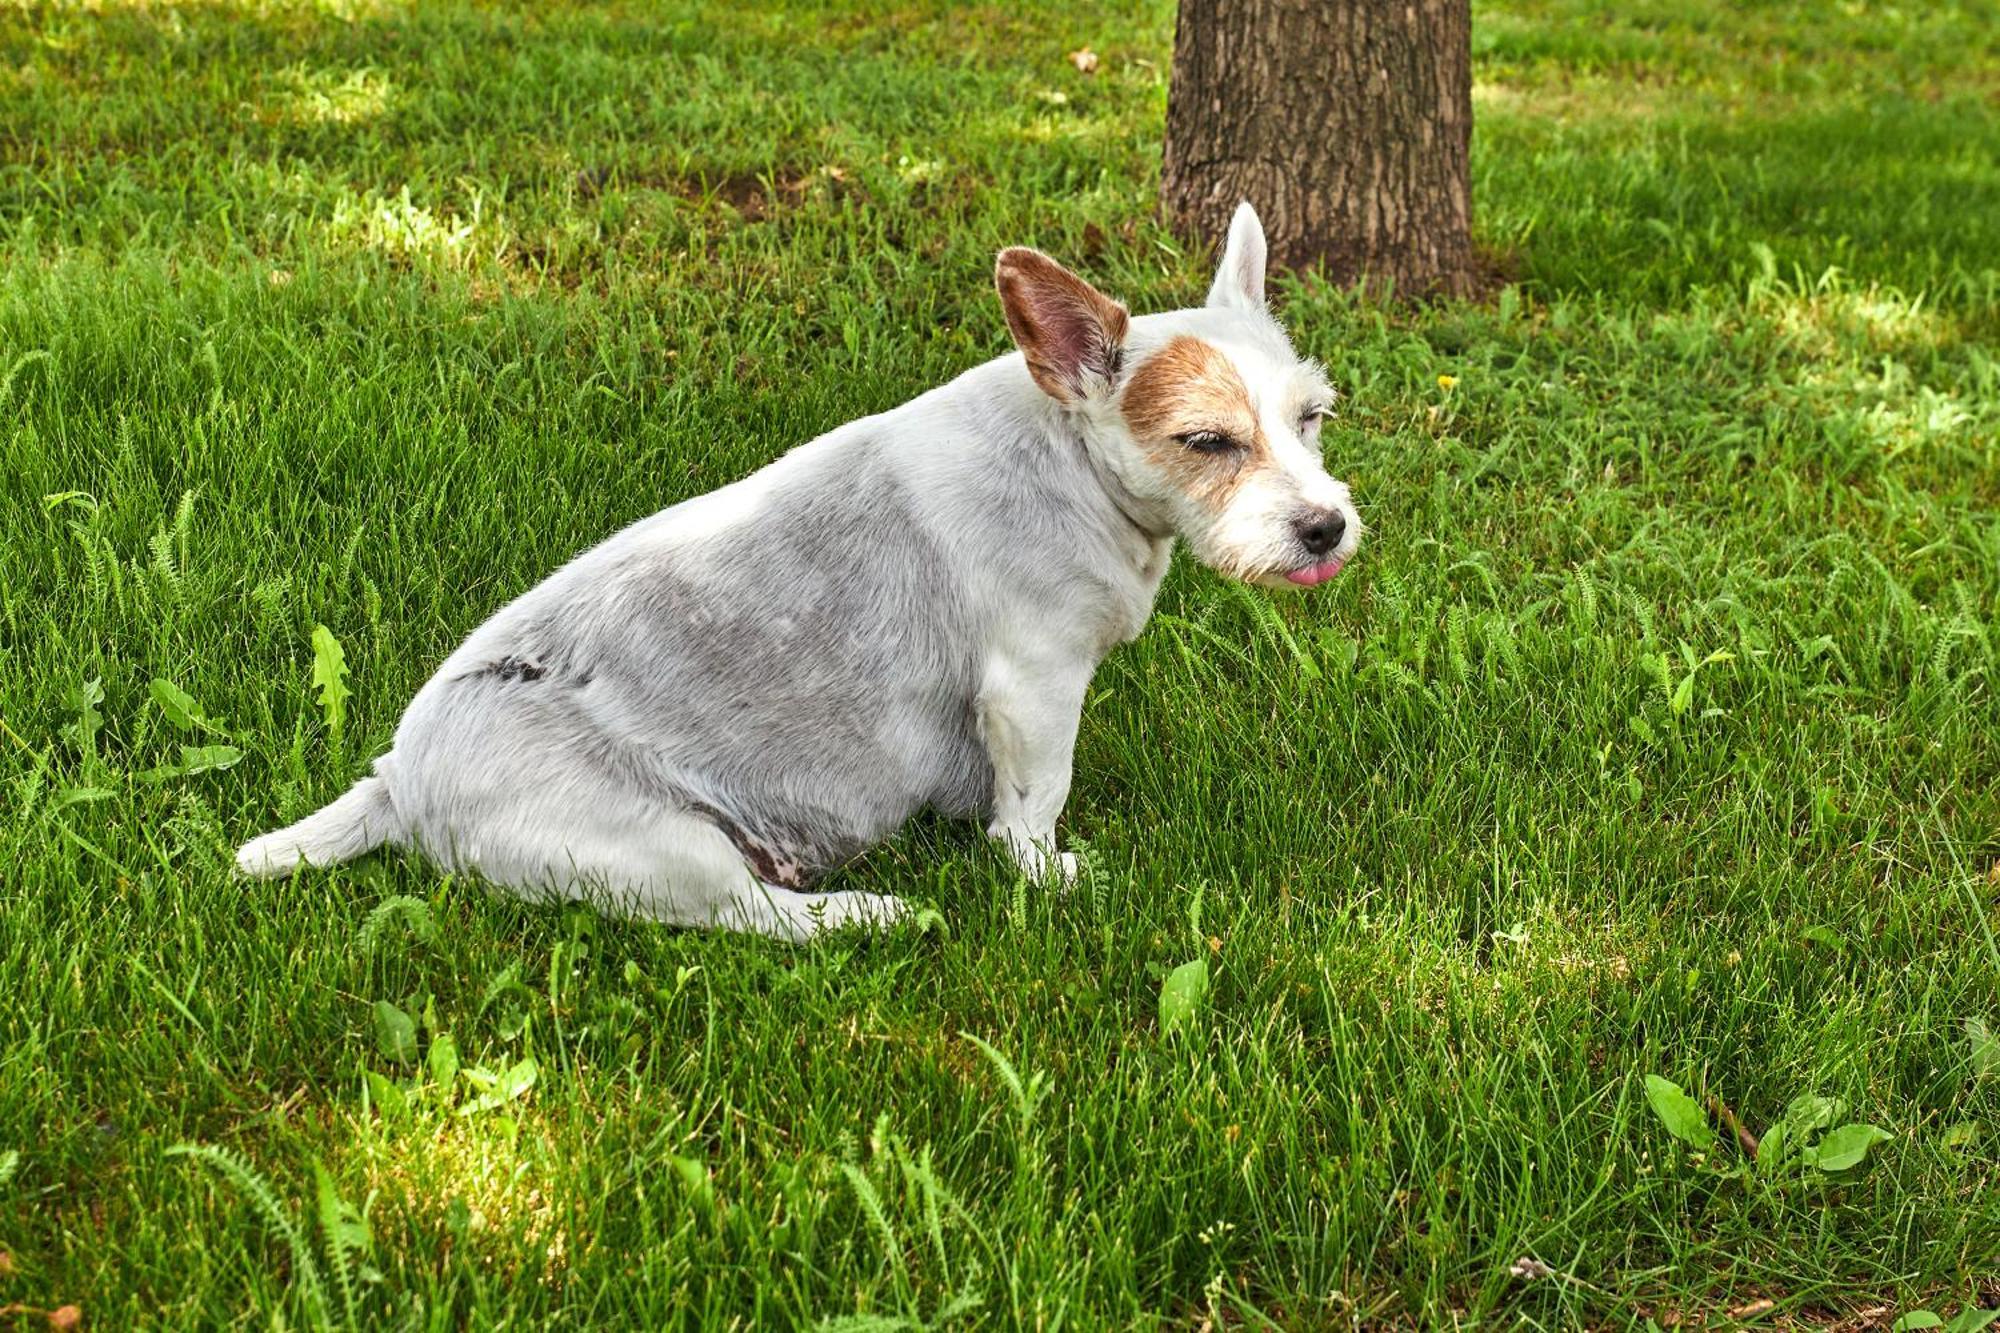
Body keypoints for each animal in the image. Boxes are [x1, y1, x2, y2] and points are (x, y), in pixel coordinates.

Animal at [234, 205, 1360, 932]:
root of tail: (397, 780)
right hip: (660, 850)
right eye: (1206, 441)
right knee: (768, 923)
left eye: (1311, 417)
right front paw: (1047, 877)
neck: (1070, 465)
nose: (1324, 527)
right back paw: (873, 911)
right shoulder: (1033, 688)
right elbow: (1036, 804)